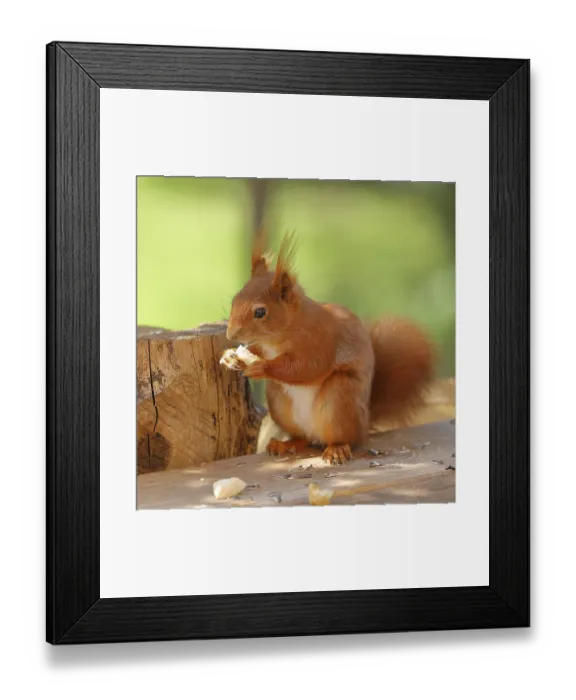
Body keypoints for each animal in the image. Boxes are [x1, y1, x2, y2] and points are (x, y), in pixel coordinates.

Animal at [220, 231, 436, 465]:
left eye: (260, 312)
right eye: (234, 300)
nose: (231, 334)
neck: (282, 334)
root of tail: (365, 425)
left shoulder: (320, 342)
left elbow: (305, 367)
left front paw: (261, 367)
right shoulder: (263, 346)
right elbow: (258, 351)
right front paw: (230, 357)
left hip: (339, 399)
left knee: (344, 437)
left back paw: (337, 449)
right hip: (279, 404)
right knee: (303, 438)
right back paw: (285, 444)